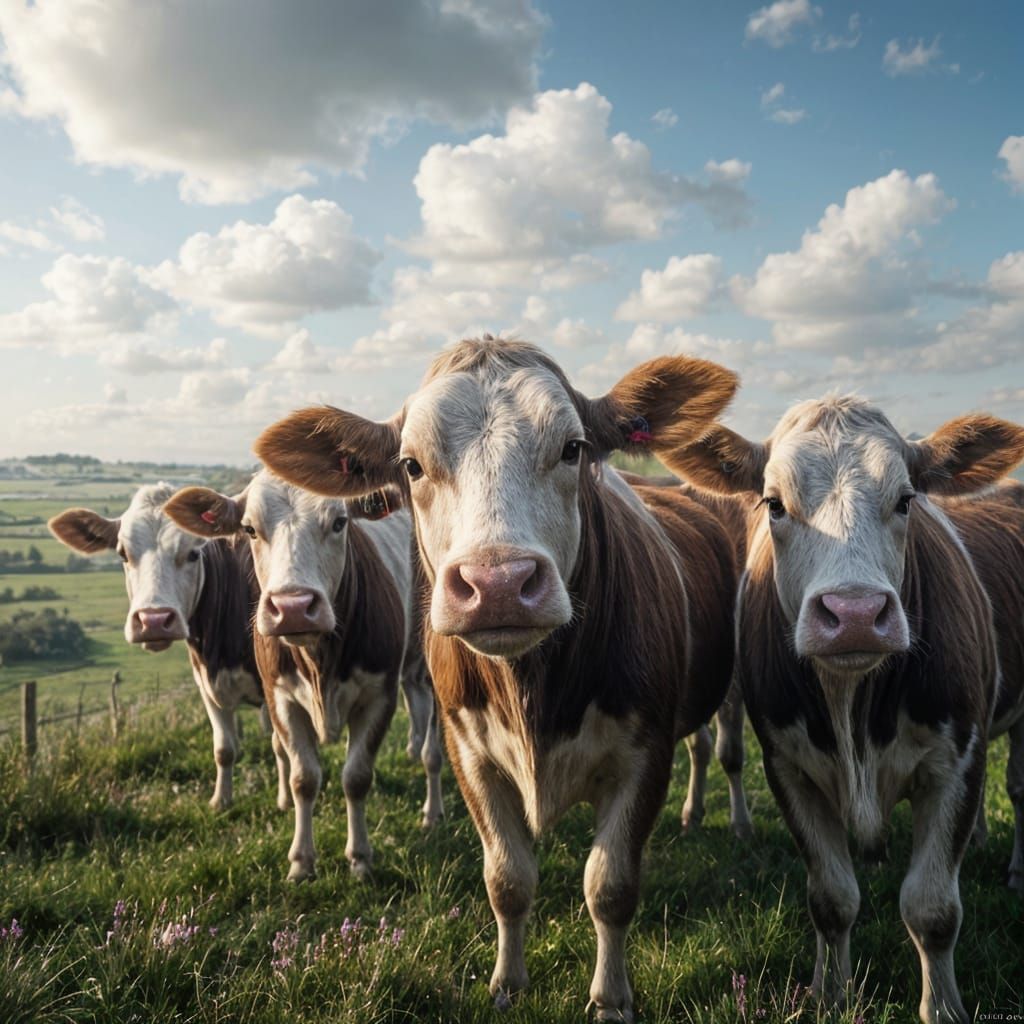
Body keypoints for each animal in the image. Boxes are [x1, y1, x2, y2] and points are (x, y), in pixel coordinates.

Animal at [48, 483, 266, 810]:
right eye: (123, 554)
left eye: (193, 553)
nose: (153, 620)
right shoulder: (206, 685)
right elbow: (224, 748)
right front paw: (220, 802)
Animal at [164, 470, 443, 882]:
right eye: (250, 529)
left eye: (340, 522)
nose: (293, 607)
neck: (318, 658)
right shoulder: (280, 698)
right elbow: (303, 779)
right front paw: (301, 861)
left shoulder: (378, 696)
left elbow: (356, 778)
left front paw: (360, 859)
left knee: (434, 751)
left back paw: (432, 808)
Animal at [251, 338, 740, 1021]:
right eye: (412, 465)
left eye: (573, 447)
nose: (499, 583)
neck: (533, 690)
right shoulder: (469, 752)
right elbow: (507, 879)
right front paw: (508, 983)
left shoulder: (645, 753)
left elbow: (611, 885)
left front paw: (611, 998)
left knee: (713, 748)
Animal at [664, 396, 1024, 1024]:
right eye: (774, 503)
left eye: (906, 499)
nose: (854, 613)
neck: (853, 706)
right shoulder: (787, 766)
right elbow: (831, 898)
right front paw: (831, 995)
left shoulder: (958, 760)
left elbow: (933, 909)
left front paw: (943, 1007)